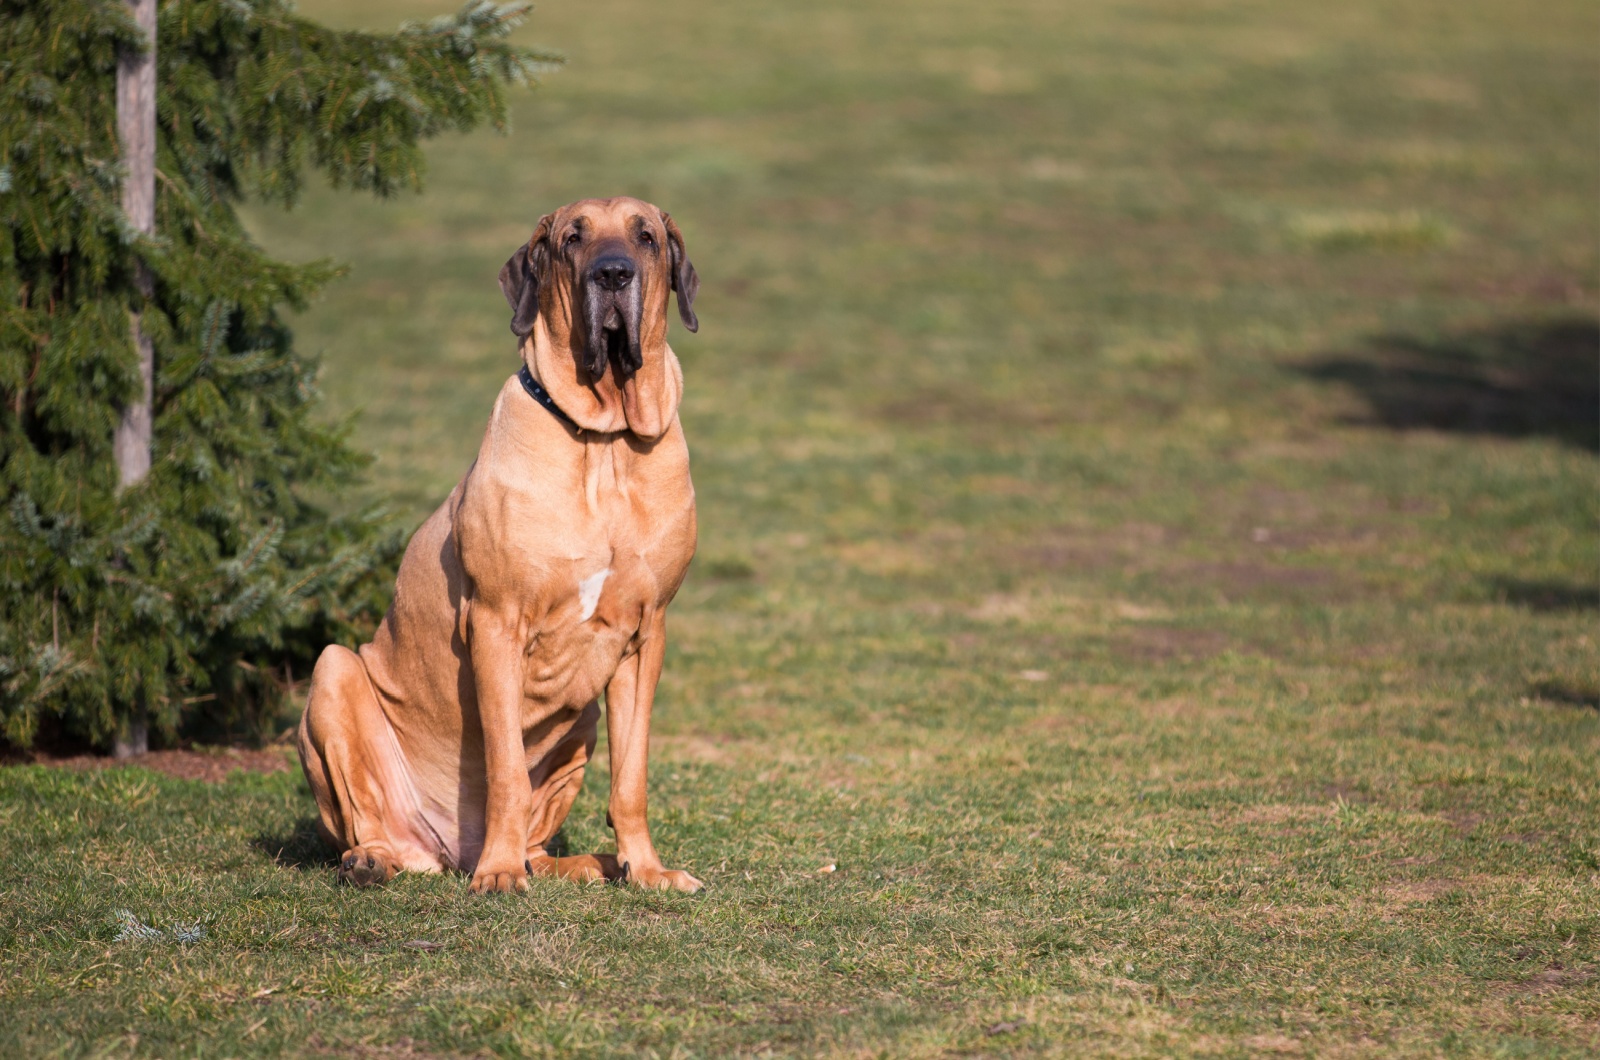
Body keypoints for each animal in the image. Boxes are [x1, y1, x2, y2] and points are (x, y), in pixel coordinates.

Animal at [300, 199, 700, 896]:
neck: (605, 443)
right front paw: (500, 873)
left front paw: (646, 869)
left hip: (583, 721)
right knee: (367, 821)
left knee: (547, 837)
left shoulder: (646, 635)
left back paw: (581, 864)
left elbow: (632, 778)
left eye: (646, 237)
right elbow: (507, 768)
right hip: (332, 673)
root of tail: (448, 851)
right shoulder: (495, 624)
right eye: (572, 240)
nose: (613, 274)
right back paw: (379, 860)